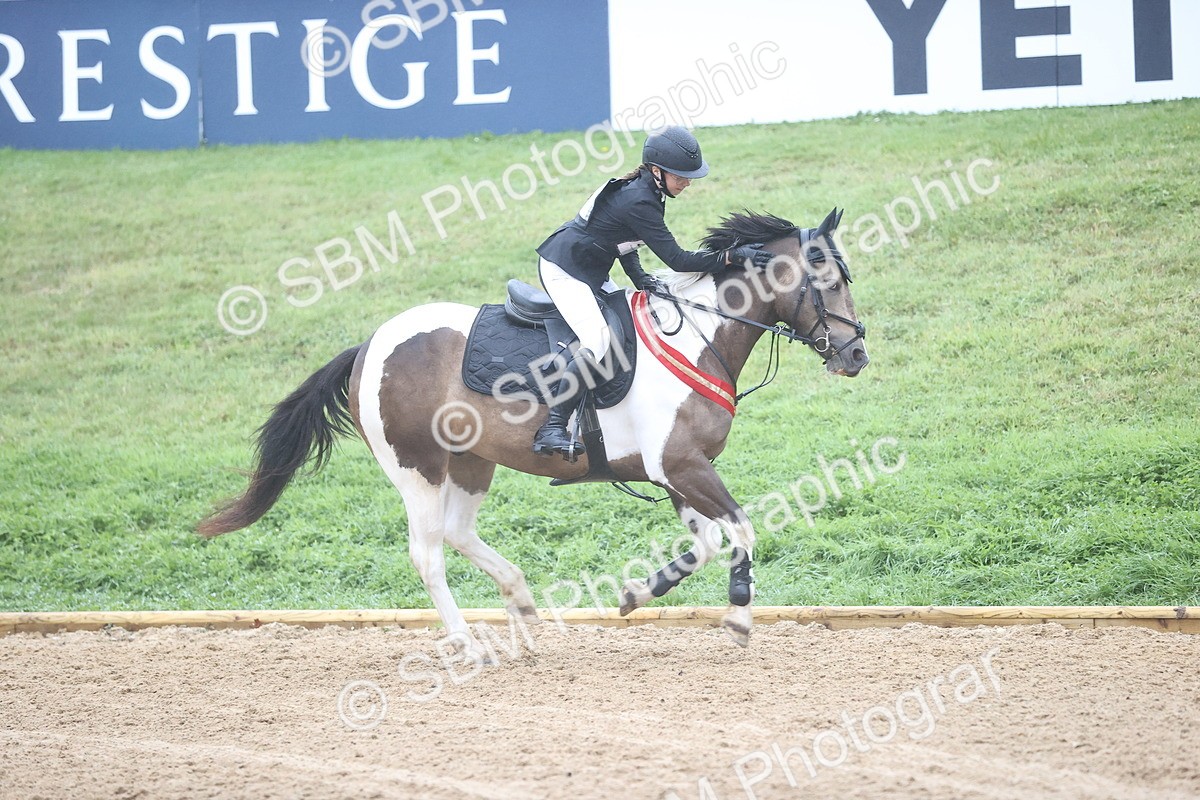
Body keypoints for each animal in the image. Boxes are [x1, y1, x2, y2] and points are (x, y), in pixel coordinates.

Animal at [197, 208, 869, 659]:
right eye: (831, 281)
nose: (856, 355)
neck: (697, 336)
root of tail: (367, 346)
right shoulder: (682, 464)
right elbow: (743, 527)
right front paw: (738, 616)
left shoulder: (675, 470)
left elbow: (705, 542)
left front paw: (634, 594)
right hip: (417, 467)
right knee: (429, 552)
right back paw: (469, 643)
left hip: (472, 460)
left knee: (459, 533)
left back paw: (522, 607)